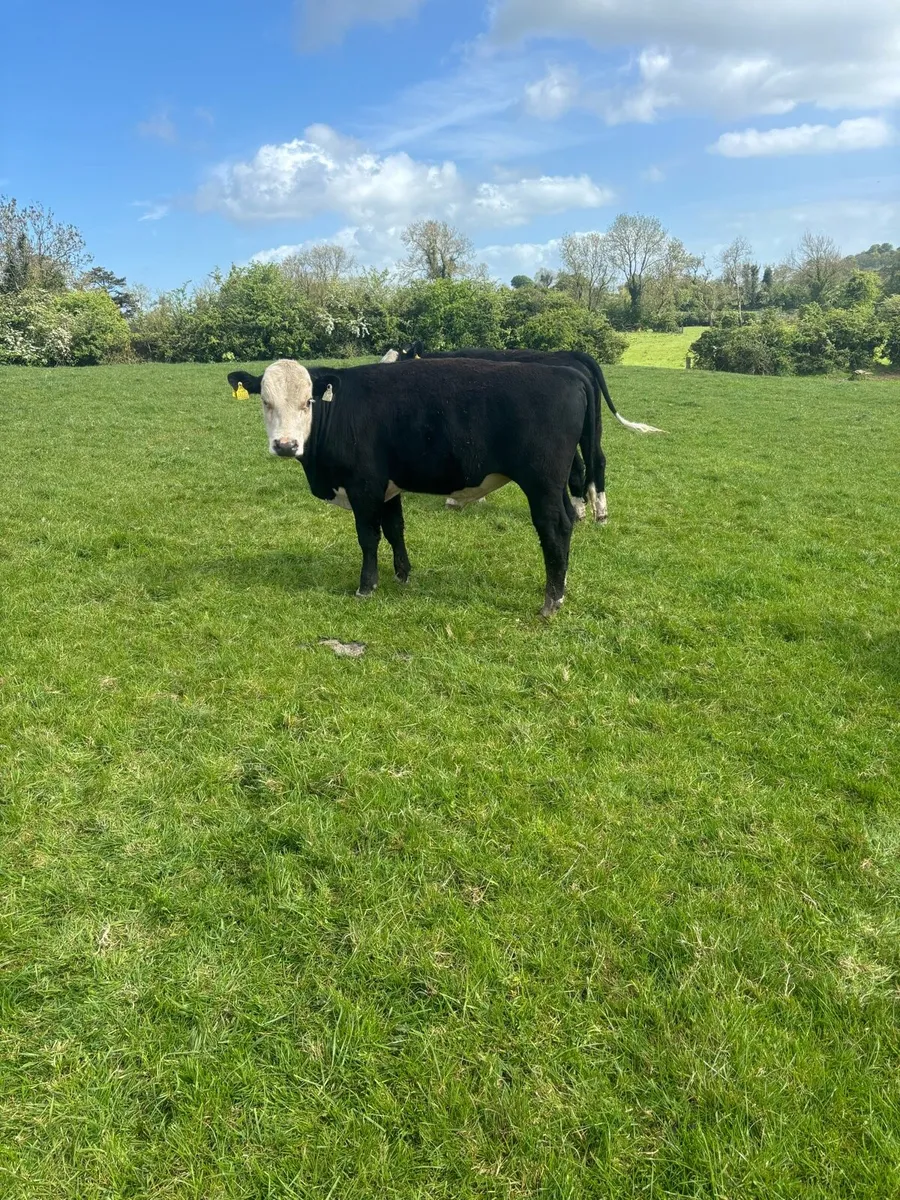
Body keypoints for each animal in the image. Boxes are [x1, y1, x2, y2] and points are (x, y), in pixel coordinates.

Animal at [227, 358, 597, 617]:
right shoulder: (389, 488)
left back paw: (551, 601)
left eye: (308, 402)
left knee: (554, 528)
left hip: (542, 484)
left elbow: (369, 537)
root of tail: (566, 373)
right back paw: (561, 586)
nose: (285, 445)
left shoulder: (364, 486)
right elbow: (395, 530)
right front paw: (403, 575)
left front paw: (366, 586)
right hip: (558, 485)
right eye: (266, 402)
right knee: (567, 522)